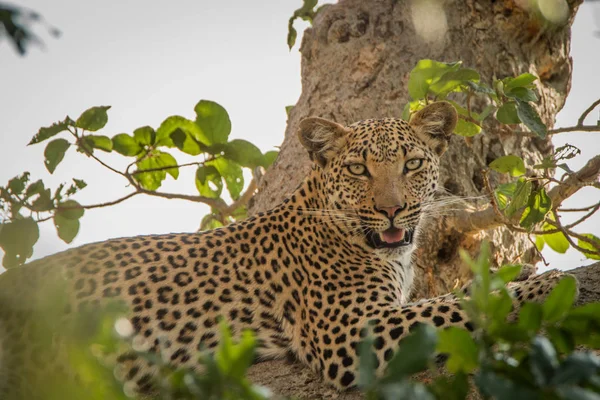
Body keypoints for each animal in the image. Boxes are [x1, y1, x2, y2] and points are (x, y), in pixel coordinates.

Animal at [0, 101, 568, 396]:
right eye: (358, 169)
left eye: (411, 164)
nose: (391, 210)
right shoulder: (352, 332)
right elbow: (451, 307)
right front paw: (541, 284)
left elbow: (444, 299)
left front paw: (518, 277)